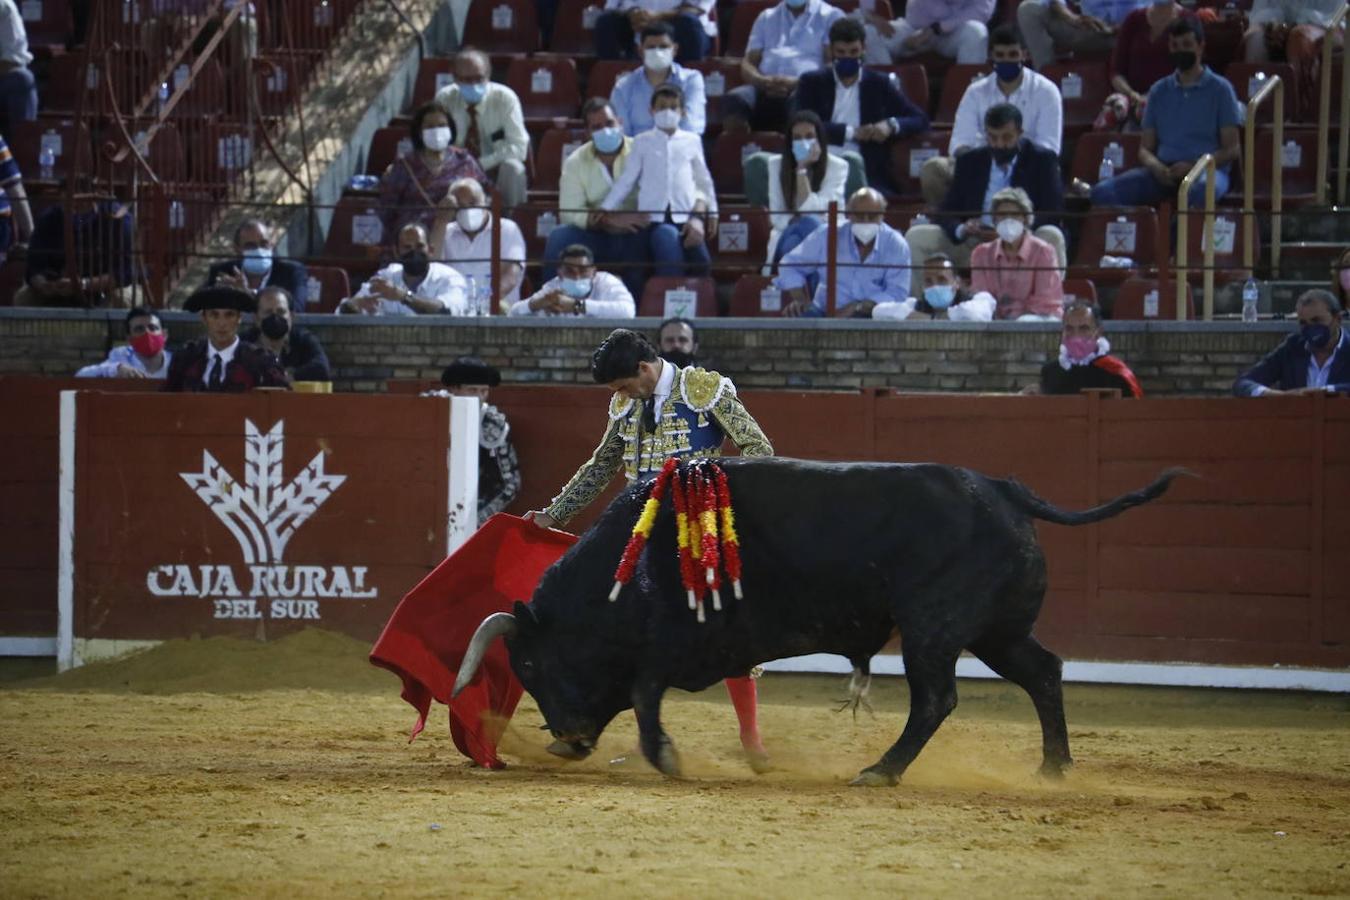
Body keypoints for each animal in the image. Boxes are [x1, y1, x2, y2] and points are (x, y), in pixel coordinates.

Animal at [450, 461, 1171, 782]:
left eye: (531, 663)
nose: (566, 739)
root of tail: (1004, 490)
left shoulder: (666, 648)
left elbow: (644, 694)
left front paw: (668, 758)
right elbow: (644, 694)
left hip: (934, 629)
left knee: (936, 697)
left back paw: (881, 770)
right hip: (998, 632)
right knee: (1044, 672)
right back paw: (1054, 768)